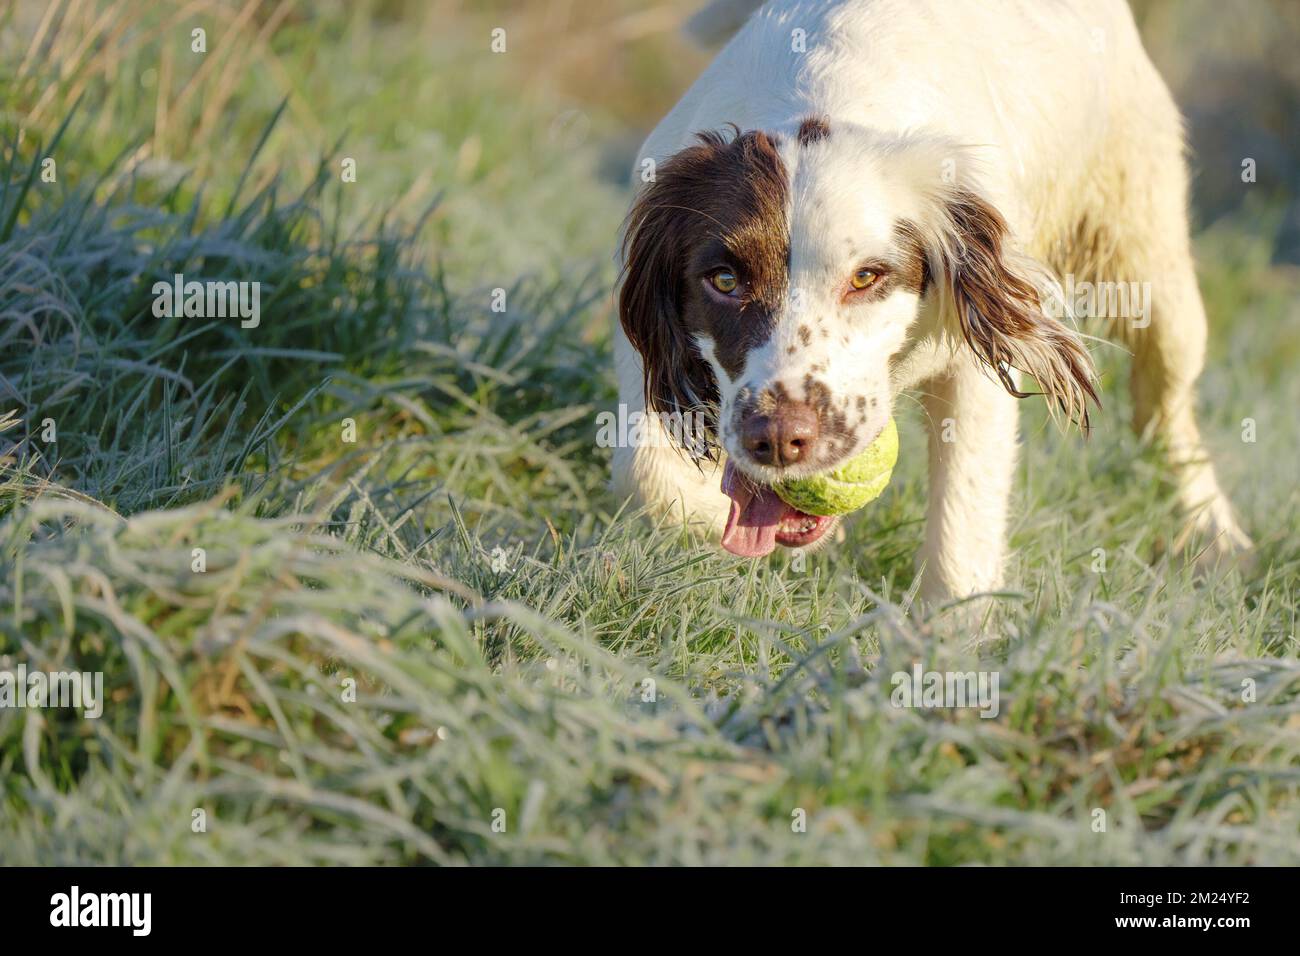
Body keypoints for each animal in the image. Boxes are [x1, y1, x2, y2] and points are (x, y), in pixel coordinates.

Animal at [613, 0, 1253, 600]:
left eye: (867, 277)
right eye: (723, 281)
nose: (778, 438)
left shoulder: (981, 354)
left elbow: (963, 520)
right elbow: (647, 477)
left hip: (1150, 257)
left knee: (1165, 403)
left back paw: (1214, 533)